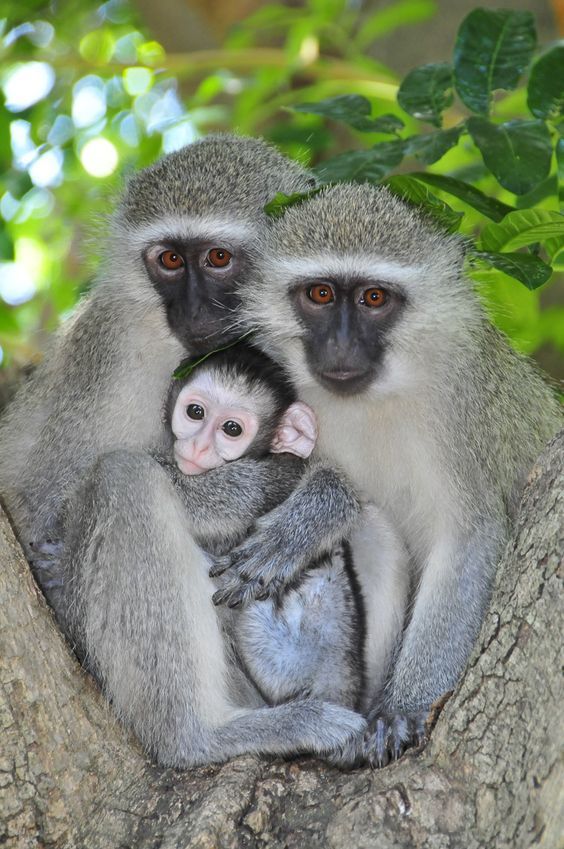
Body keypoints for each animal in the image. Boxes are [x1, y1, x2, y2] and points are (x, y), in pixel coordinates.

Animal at [214, 181, 563, 767]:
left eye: (374, 299)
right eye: (320, 295)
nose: (340, 345)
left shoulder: (464, 401)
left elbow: (469, 537)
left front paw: (406, 706)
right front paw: (308, 519)